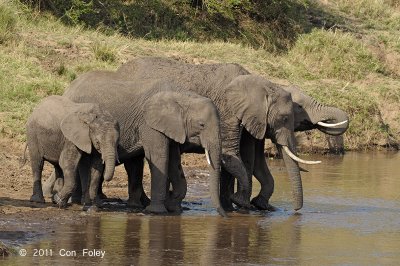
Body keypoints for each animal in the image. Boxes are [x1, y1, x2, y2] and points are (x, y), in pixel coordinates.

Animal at [61, 77, 227, 216]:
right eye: (202, 125)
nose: (224, 215)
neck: (182, 95)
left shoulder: (172, 127)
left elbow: (174, 161)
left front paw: (174, 208)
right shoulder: (149, 124)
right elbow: (159, 157)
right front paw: (157, 211)